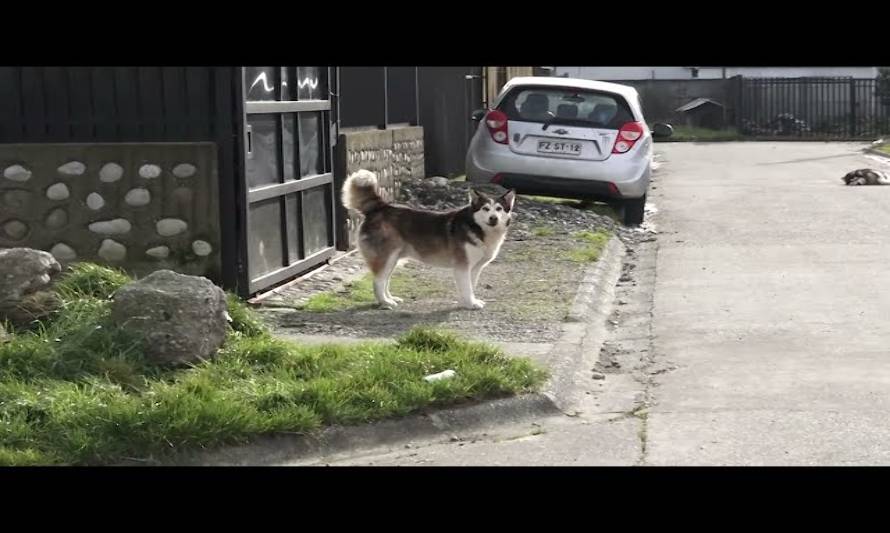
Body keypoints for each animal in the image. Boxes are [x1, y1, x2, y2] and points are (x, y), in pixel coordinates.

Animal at [340, 170, 512, 310]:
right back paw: (385, 302)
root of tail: (381, 207)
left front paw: (467, 302)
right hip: (386, 257)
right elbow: (467, 287)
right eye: (485, 209)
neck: (477, 228)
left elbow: (470, 286)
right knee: (378, 282)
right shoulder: (462, 266)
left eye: (499, 209)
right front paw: (470, 304)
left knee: (385, 280)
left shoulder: (475, 268)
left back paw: (390, 298)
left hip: (393, 259)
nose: (493, 218)